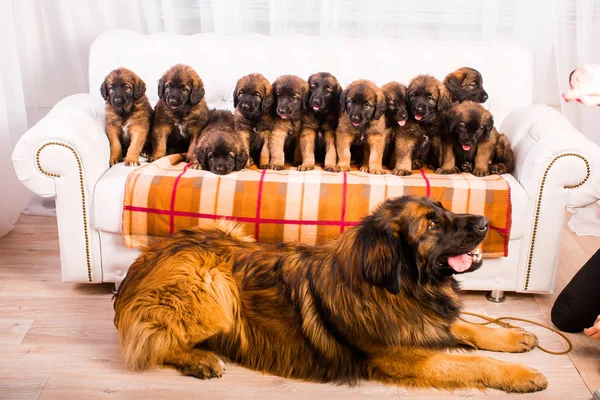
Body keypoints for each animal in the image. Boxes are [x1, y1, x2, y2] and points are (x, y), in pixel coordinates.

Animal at [113, 195, 548, 392]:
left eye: (444, 210)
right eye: (432, 224)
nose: (486, 222)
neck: (398, 287)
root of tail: (139, 265)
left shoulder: (425, 320)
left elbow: (467, 326)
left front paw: (512, 335)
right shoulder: (404, 357)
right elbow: (470, 362)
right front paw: (522, 374)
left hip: (230, 231)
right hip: (213, 284)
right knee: (150, 341)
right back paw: (201, 360)